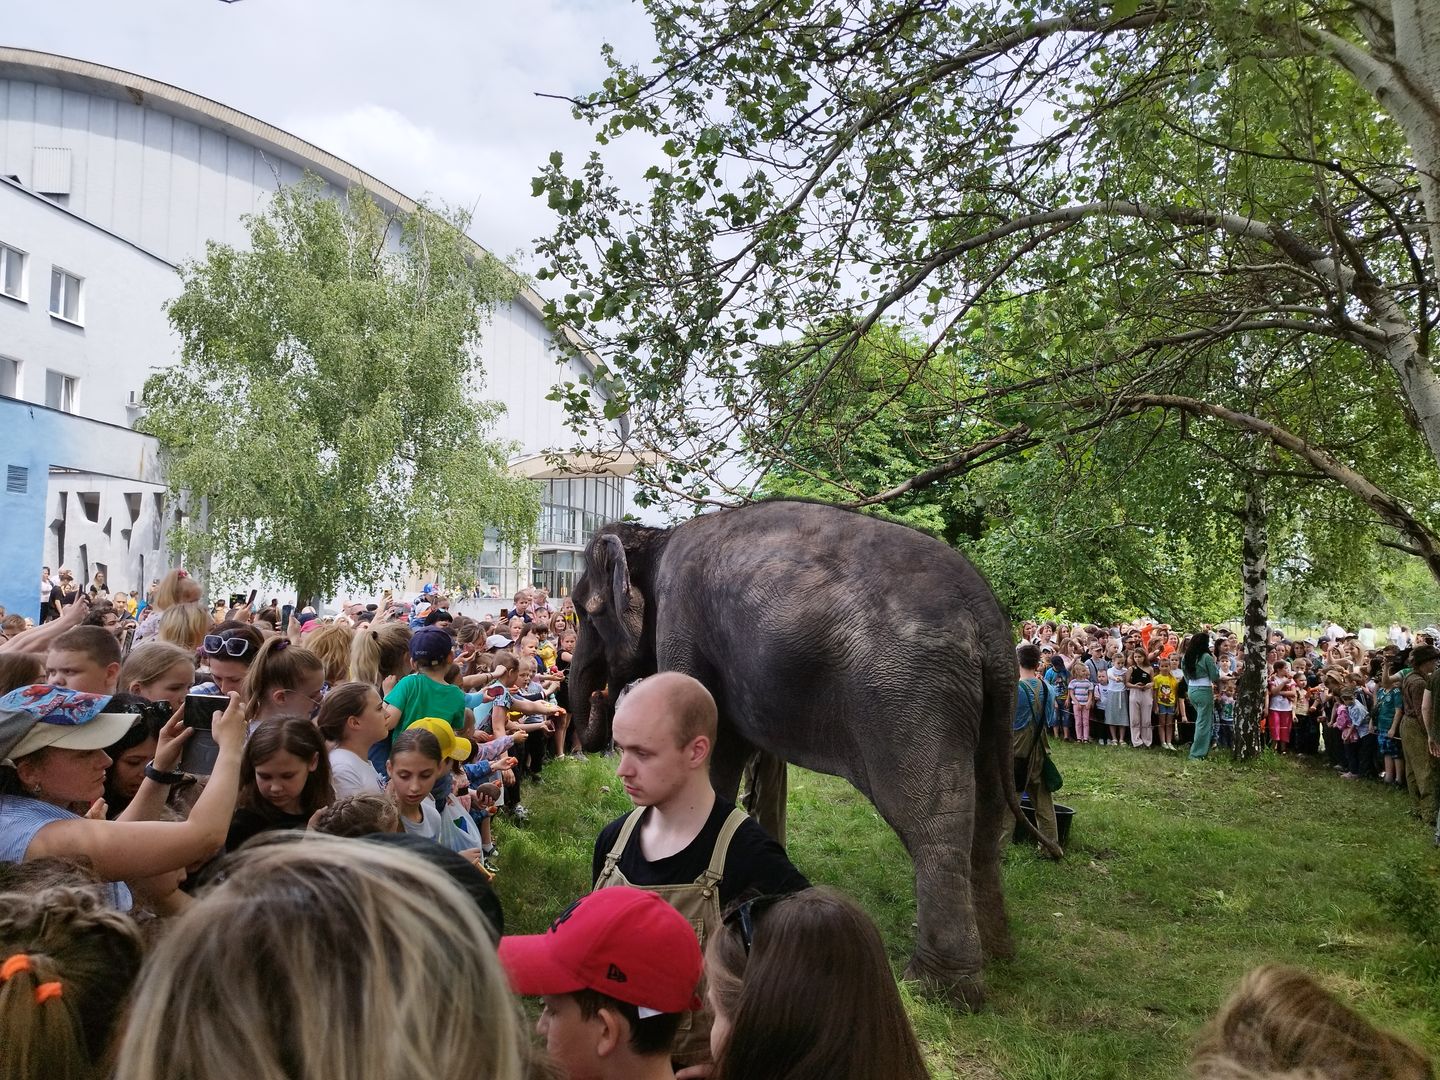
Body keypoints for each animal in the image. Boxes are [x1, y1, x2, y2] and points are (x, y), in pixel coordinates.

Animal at [564, 504, 1059, 1013]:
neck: (656, 538)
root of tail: (986, 614)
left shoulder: (682, 623)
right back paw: (998, 955)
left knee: (932, 821)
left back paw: (936, 991)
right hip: (991, 708)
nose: (602, 698)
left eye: (582, 609)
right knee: (987, 813)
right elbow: (725, 747)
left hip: (911, 697)